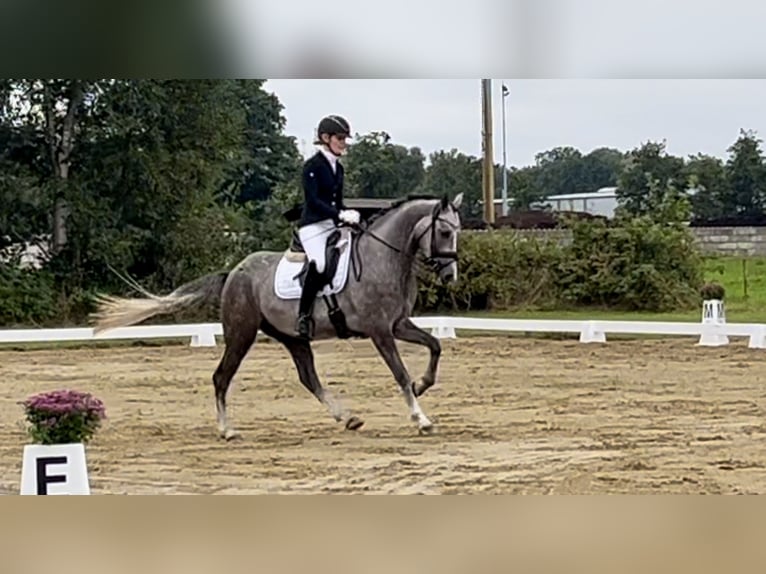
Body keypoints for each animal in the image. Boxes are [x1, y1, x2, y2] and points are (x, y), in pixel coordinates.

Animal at [89, 195, 462, 440]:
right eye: (445, 232)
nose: (451, 275)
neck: (384, 257)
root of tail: (233, 272)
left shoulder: (398, 324)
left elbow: (435, 346)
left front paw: (423, 385)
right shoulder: (379, 331)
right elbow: (399, 373)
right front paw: (421, 418)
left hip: (293, 338)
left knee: (308, 377)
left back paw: (347, 418)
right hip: (241, 333)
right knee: (221, 377)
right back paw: (227, 430)